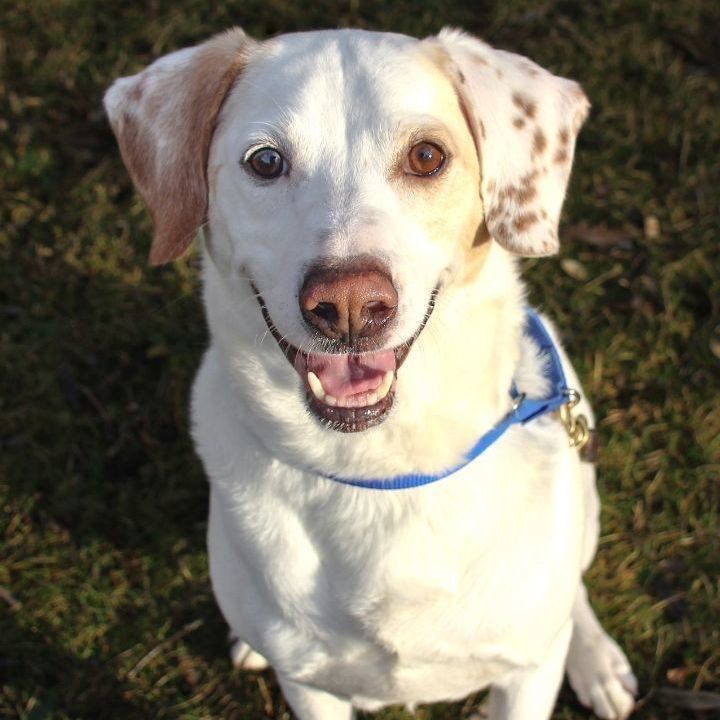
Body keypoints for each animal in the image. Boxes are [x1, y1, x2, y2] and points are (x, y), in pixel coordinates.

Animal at [105, 25, 636, 716]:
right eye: (265, 162)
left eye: (427, 156)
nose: (349, 306)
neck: (381, 473)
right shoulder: (310, 684)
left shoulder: (526, 676)